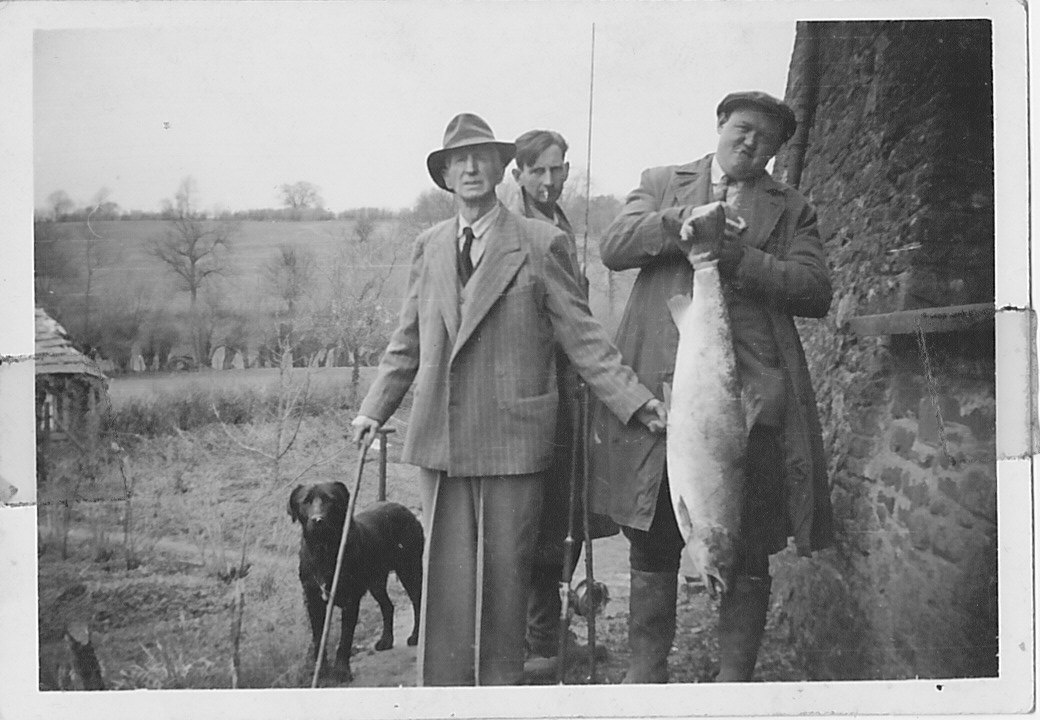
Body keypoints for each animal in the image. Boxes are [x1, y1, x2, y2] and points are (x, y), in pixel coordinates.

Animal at [289, 482, 422, 682]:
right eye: (305, 501)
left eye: (331, 499)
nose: (318, 520)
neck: (324, 551)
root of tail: (406, 510)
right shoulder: (313, 601)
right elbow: (319, 638)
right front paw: (321, 671)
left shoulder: (350, 600)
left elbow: (345, 639)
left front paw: (341, 671)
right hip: (376, 582)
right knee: (388, 606)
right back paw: (386, 640)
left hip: (409, 570)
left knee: (417, 602)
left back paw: (415, 636)